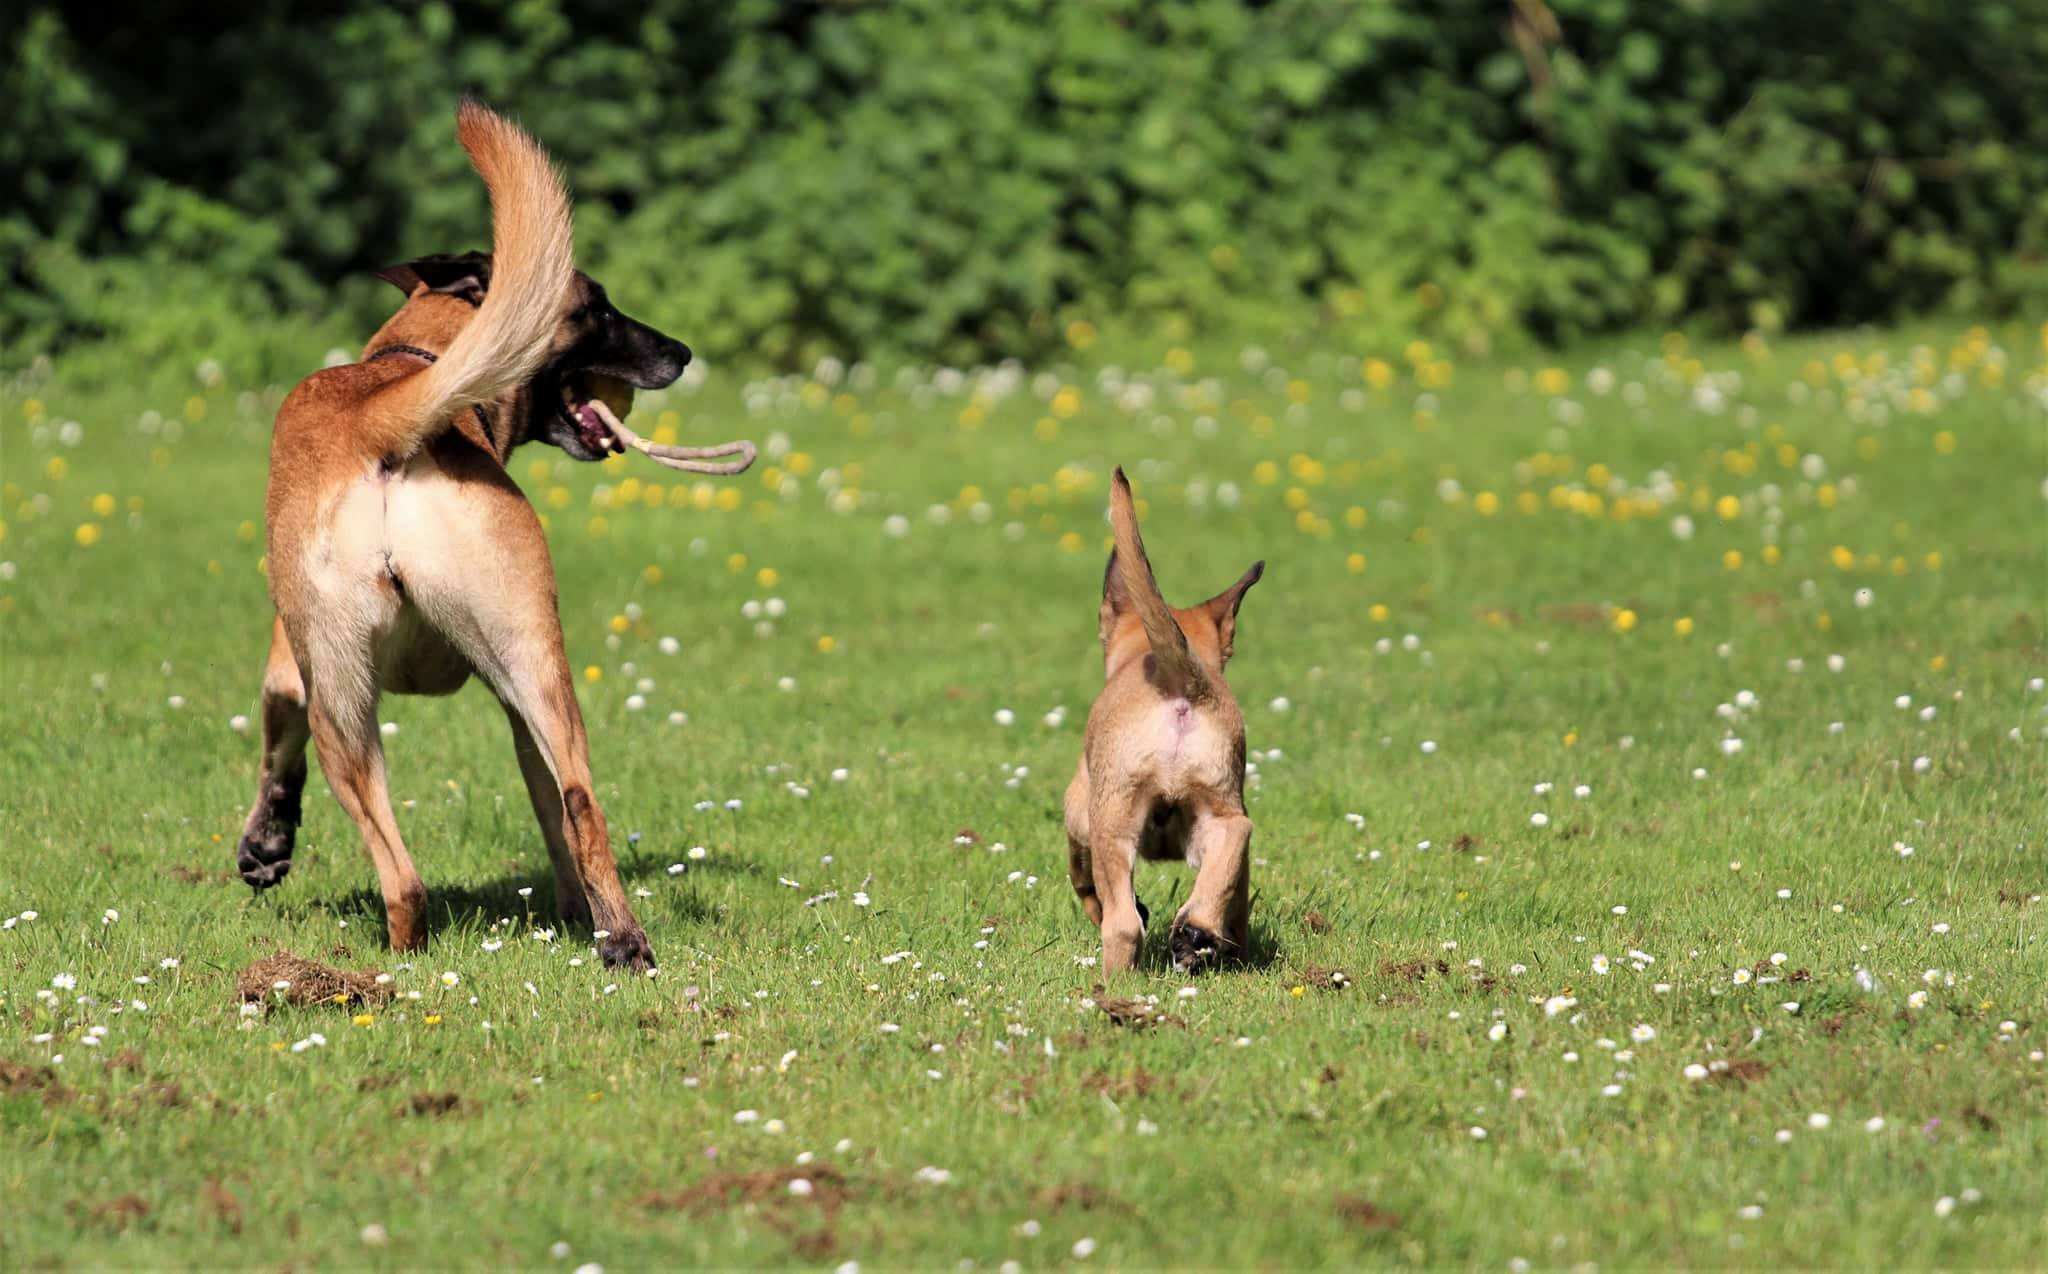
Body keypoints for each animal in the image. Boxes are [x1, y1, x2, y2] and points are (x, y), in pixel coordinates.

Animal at [236, 100, 737, 971]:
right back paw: (620, 941)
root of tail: (387, 419)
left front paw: (265, 844)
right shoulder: (509, 698)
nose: (679, 351)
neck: (410, 359)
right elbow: (557, 816)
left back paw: (396, 963)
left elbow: (275, 737)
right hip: (534, 669)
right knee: (580, 804)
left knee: (403, 877)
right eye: (598, 308)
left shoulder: (288, 666)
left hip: (345, 706)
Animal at [1063, 468, 1264, 975]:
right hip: (1220, 808)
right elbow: (1234, 891)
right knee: (1235, 837)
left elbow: (1084, 881)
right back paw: (1196, 933)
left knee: (1122, 926)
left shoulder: (1080, 819)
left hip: (1111, 821)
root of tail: (1181, 680)